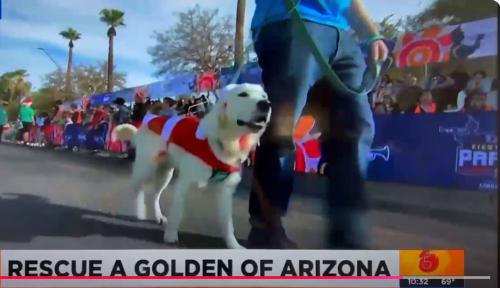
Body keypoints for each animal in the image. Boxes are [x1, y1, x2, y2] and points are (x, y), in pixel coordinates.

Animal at [114, 82, 270, 248]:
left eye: (264, 96)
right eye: (243, 94)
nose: (265, 104)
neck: (222, 142)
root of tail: (150, 120)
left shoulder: (225, 191)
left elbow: (227, 223)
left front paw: (233, 245)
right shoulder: (185, 183)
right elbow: (177, 212)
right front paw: (170, 235)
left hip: (165, 173)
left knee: (154, 195)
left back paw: (158, 216)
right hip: (146, 168)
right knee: (135, 188)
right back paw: (136, 211)